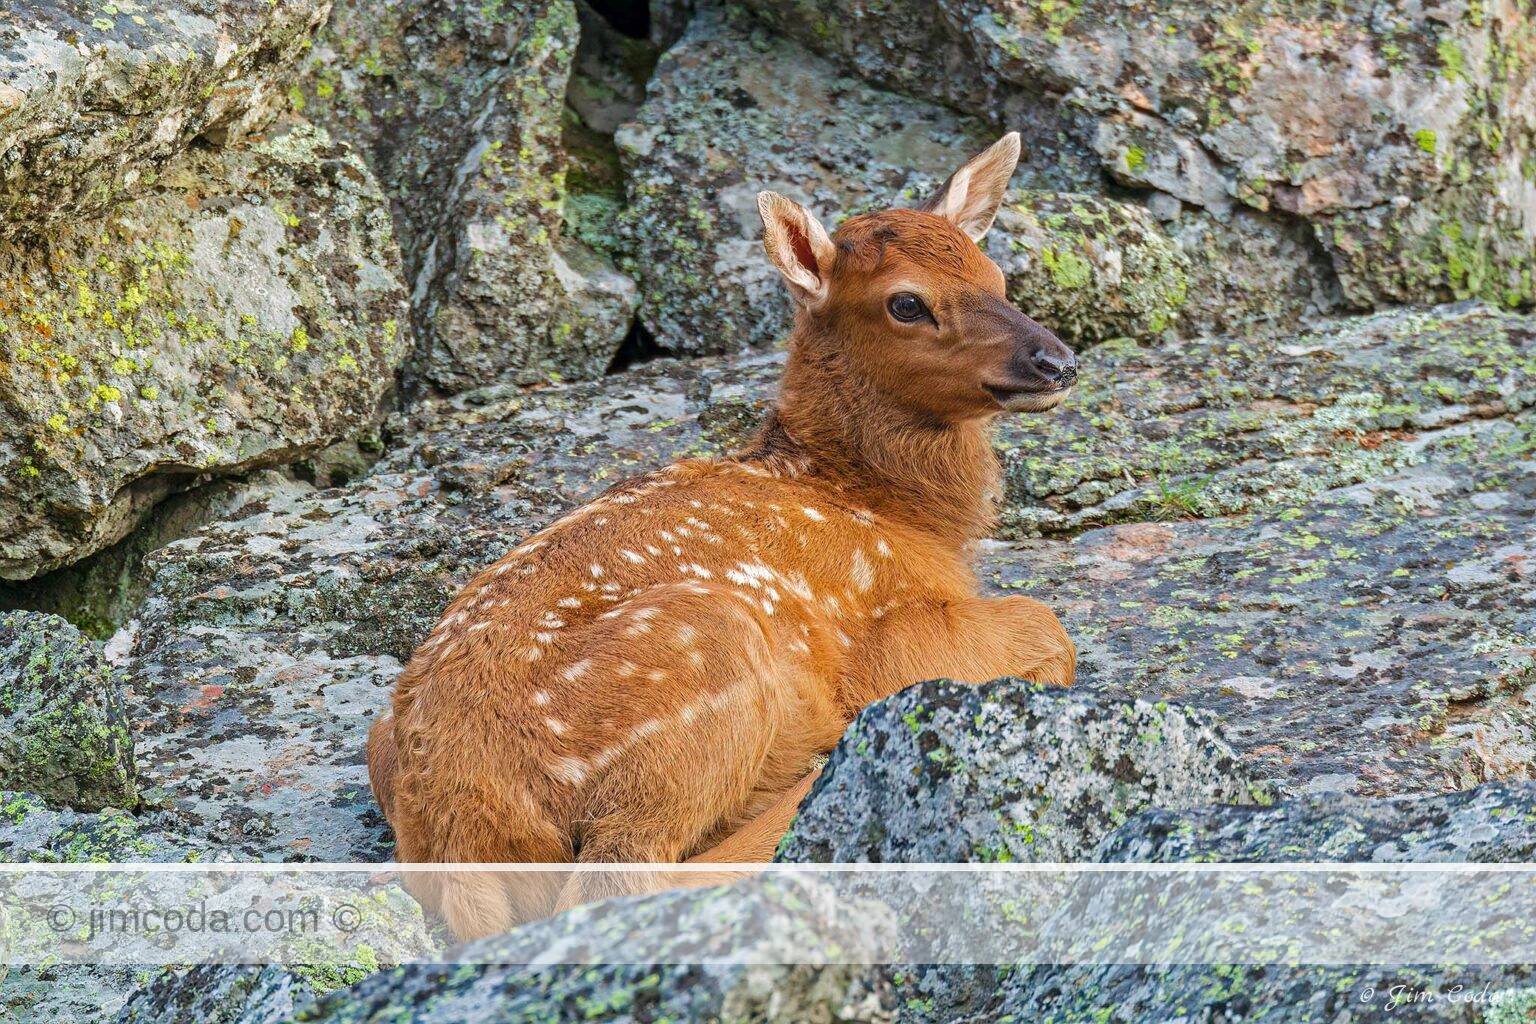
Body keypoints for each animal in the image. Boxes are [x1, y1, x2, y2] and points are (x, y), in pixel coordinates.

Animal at [366, 132, 1079, 940]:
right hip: (704, 656)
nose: (1057, 361)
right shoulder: (893, 639)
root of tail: (460, 827)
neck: (887, 508)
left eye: (996, 275)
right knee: (620, 881)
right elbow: (1048, 625)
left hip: (385, 741)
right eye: (907, 302)